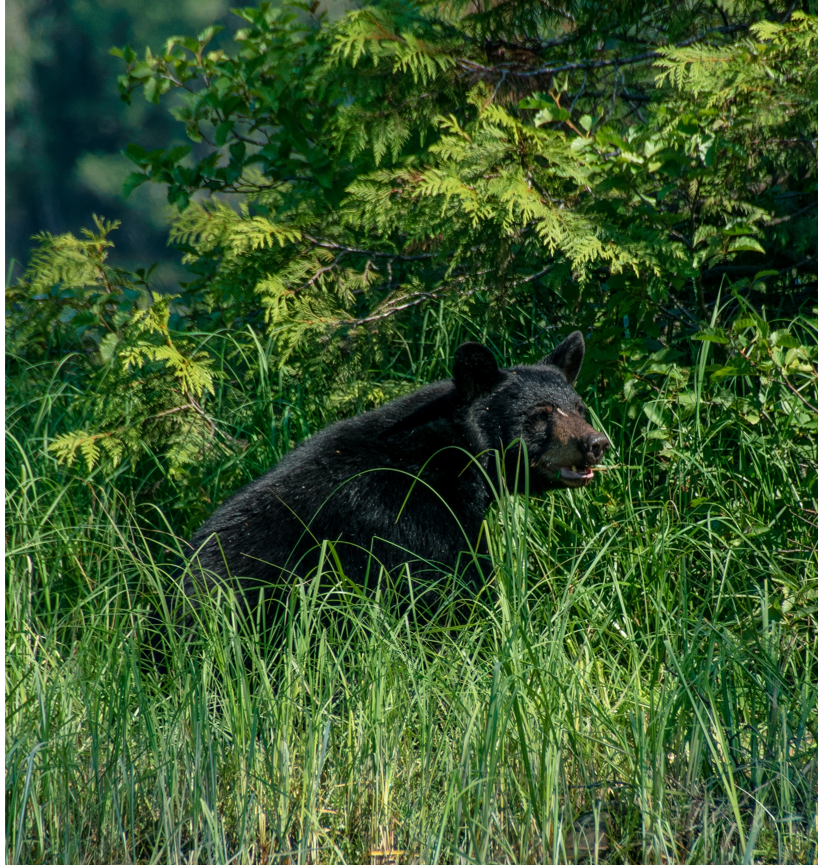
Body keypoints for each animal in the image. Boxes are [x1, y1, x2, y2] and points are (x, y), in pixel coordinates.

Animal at [181, 331, 610, 622]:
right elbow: (451, 585)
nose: (596, 443)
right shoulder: (411, 516)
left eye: (579, 407)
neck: (452, 455)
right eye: (541, 413)